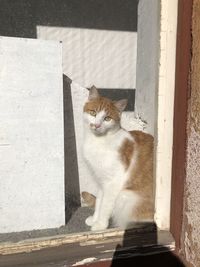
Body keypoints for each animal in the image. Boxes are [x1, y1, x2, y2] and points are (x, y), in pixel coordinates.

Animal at [81, 86, 153, 232]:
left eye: (107, 118)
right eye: (93, 113)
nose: (96, 125)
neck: (98, 141)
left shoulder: (113, 182)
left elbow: (105, 205)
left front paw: (101, 225)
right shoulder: (101, 180)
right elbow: (99, 201)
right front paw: (95, 219)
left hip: (126, 196)